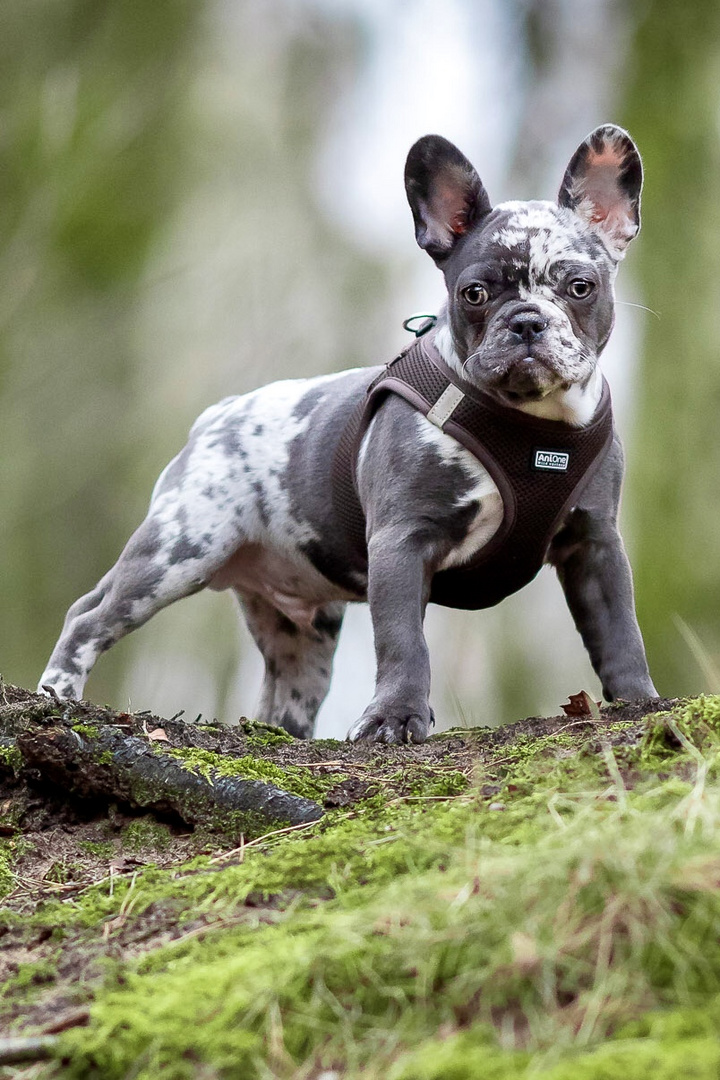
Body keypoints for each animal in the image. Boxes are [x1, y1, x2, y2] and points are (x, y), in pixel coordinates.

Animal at [39, 122, 660, 738]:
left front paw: (641, 702)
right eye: (475, 294)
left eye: (579, 287)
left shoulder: (596, 544)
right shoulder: (401, 541)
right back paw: (57, 696)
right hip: (179, 549)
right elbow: (405, 642)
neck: (530, 423)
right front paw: (396, 718)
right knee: (88, 616)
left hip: (302, 628)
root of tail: (218, 415)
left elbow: (621, 630)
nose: (527, 321)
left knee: (285, 689)